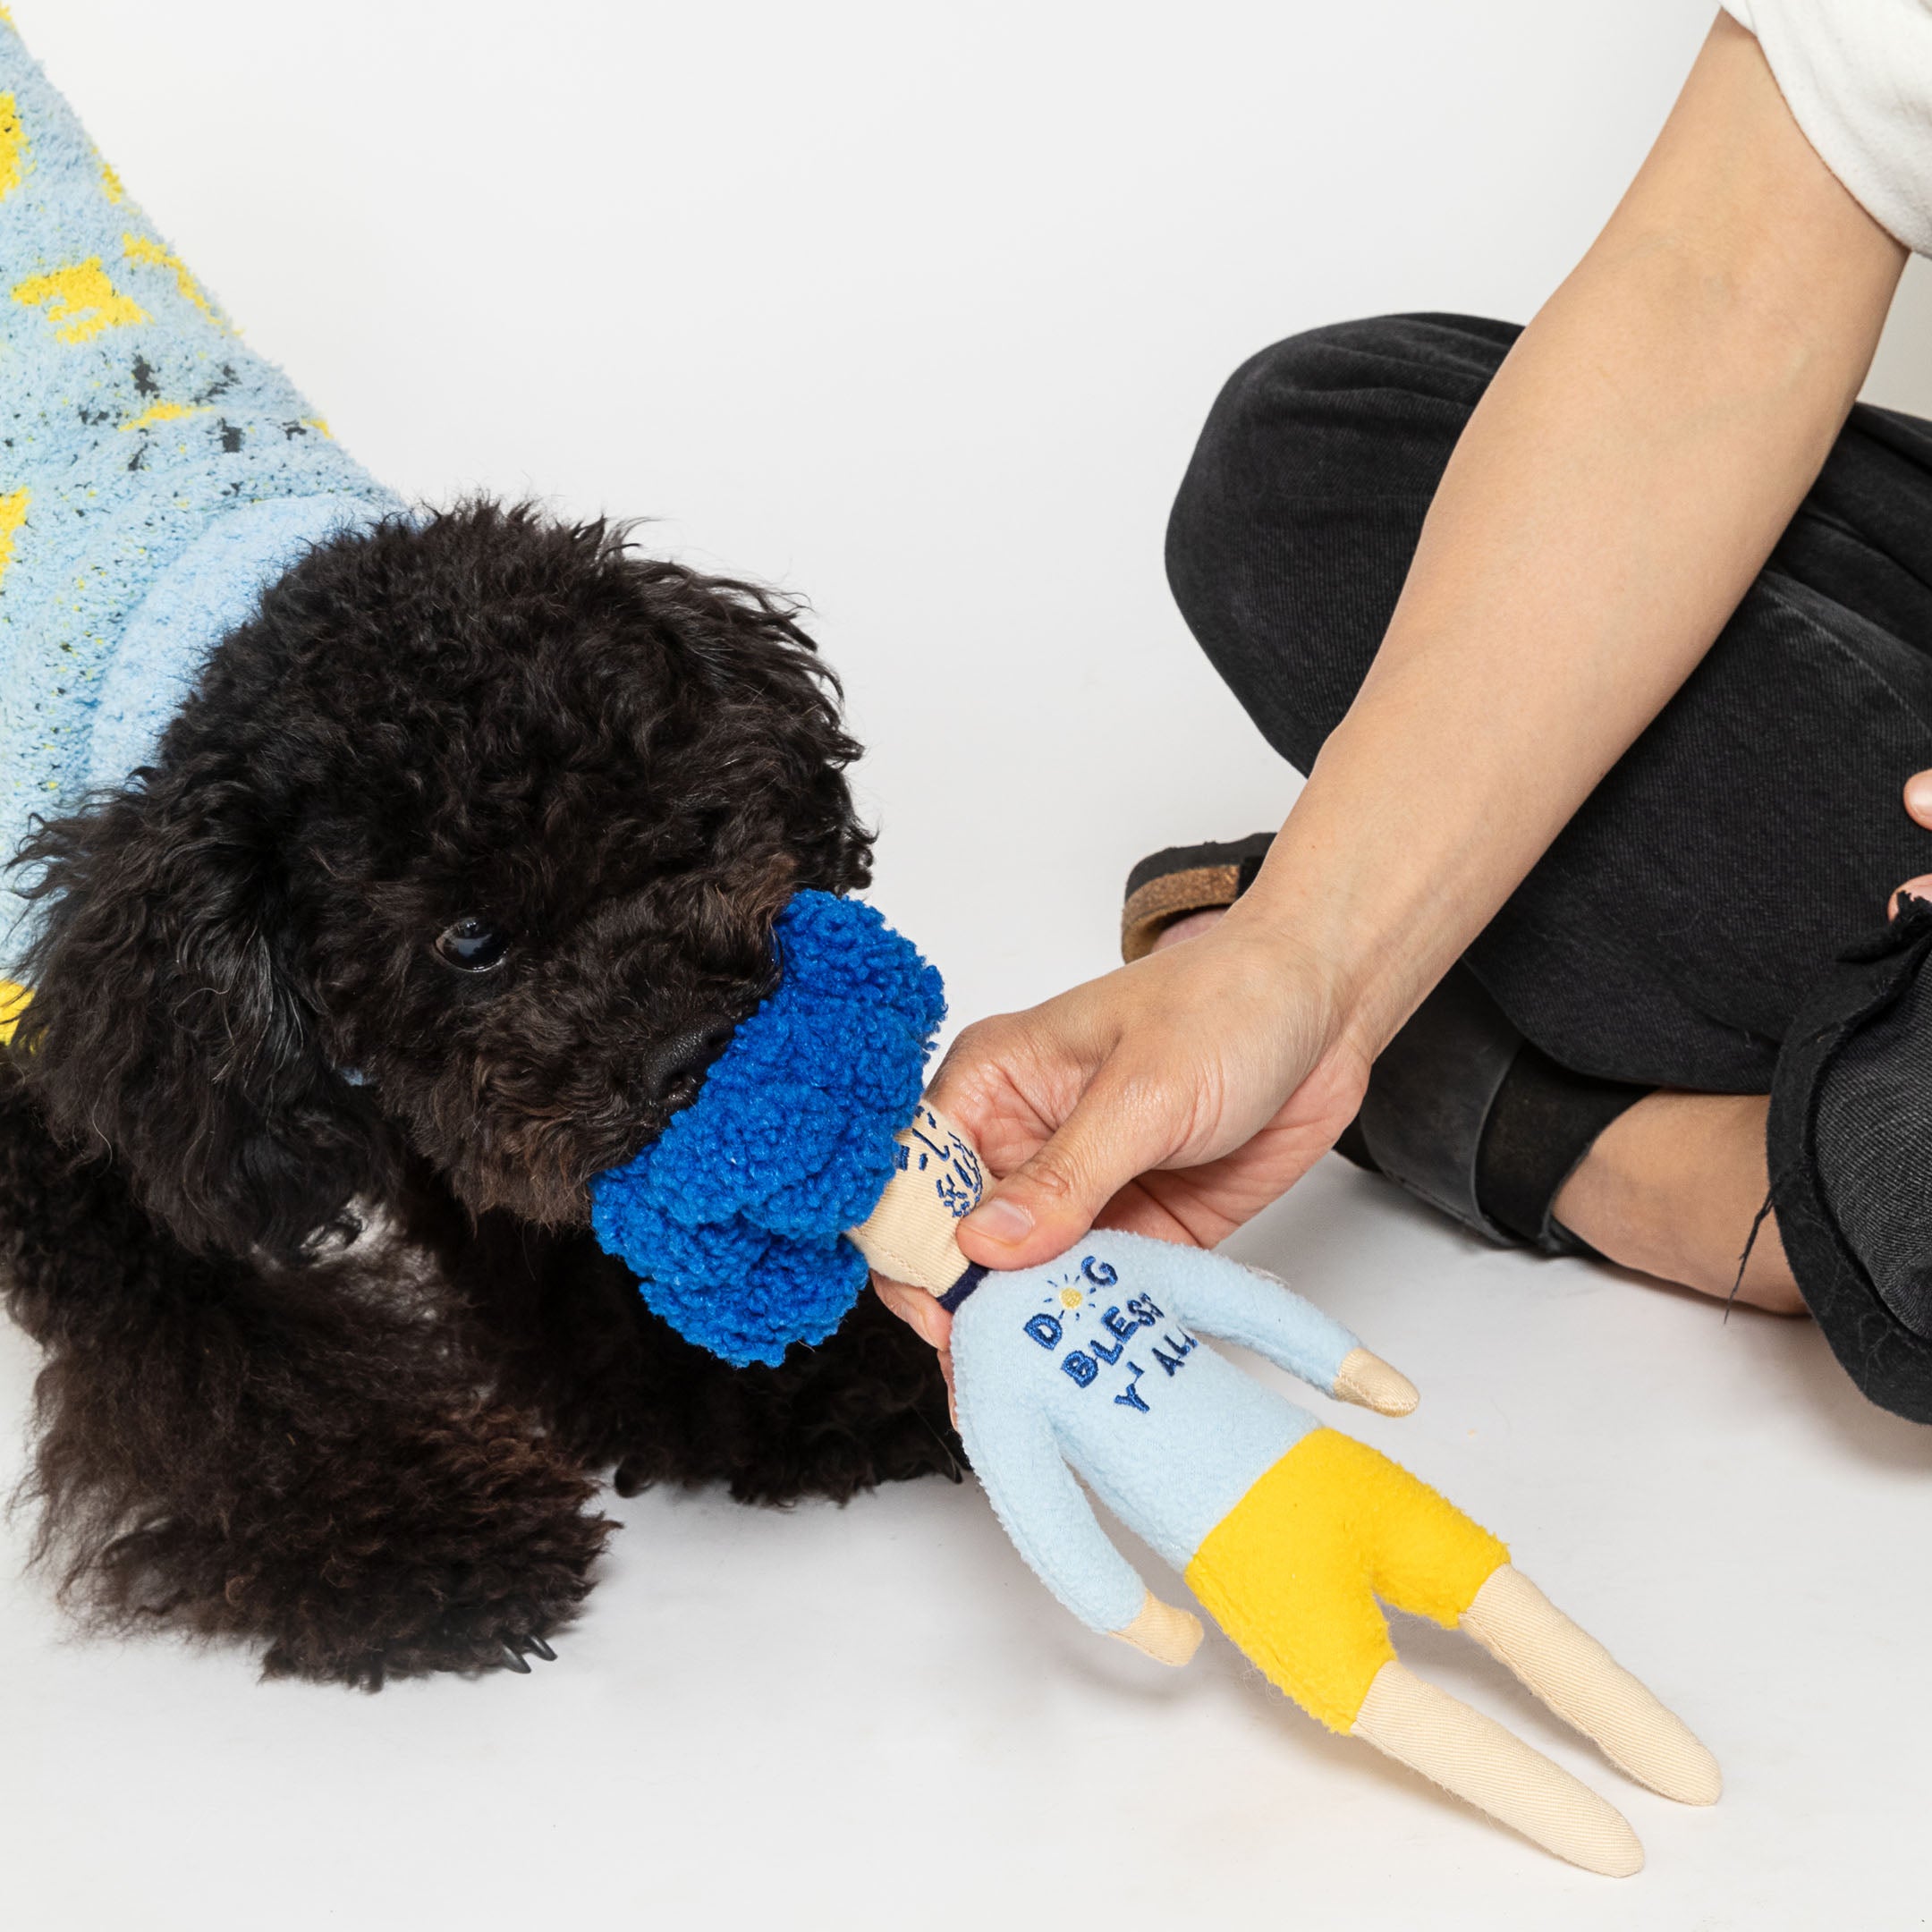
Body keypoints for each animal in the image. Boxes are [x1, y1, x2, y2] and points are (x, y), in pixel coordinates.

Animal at [0, 502, 958, 1692]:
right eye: (467, 940)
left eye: (690, 825)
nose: (693, 1051)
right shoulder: (102, 1142)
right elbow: (225, 1369)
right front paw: (427, 1543)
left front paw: (835, 1376)